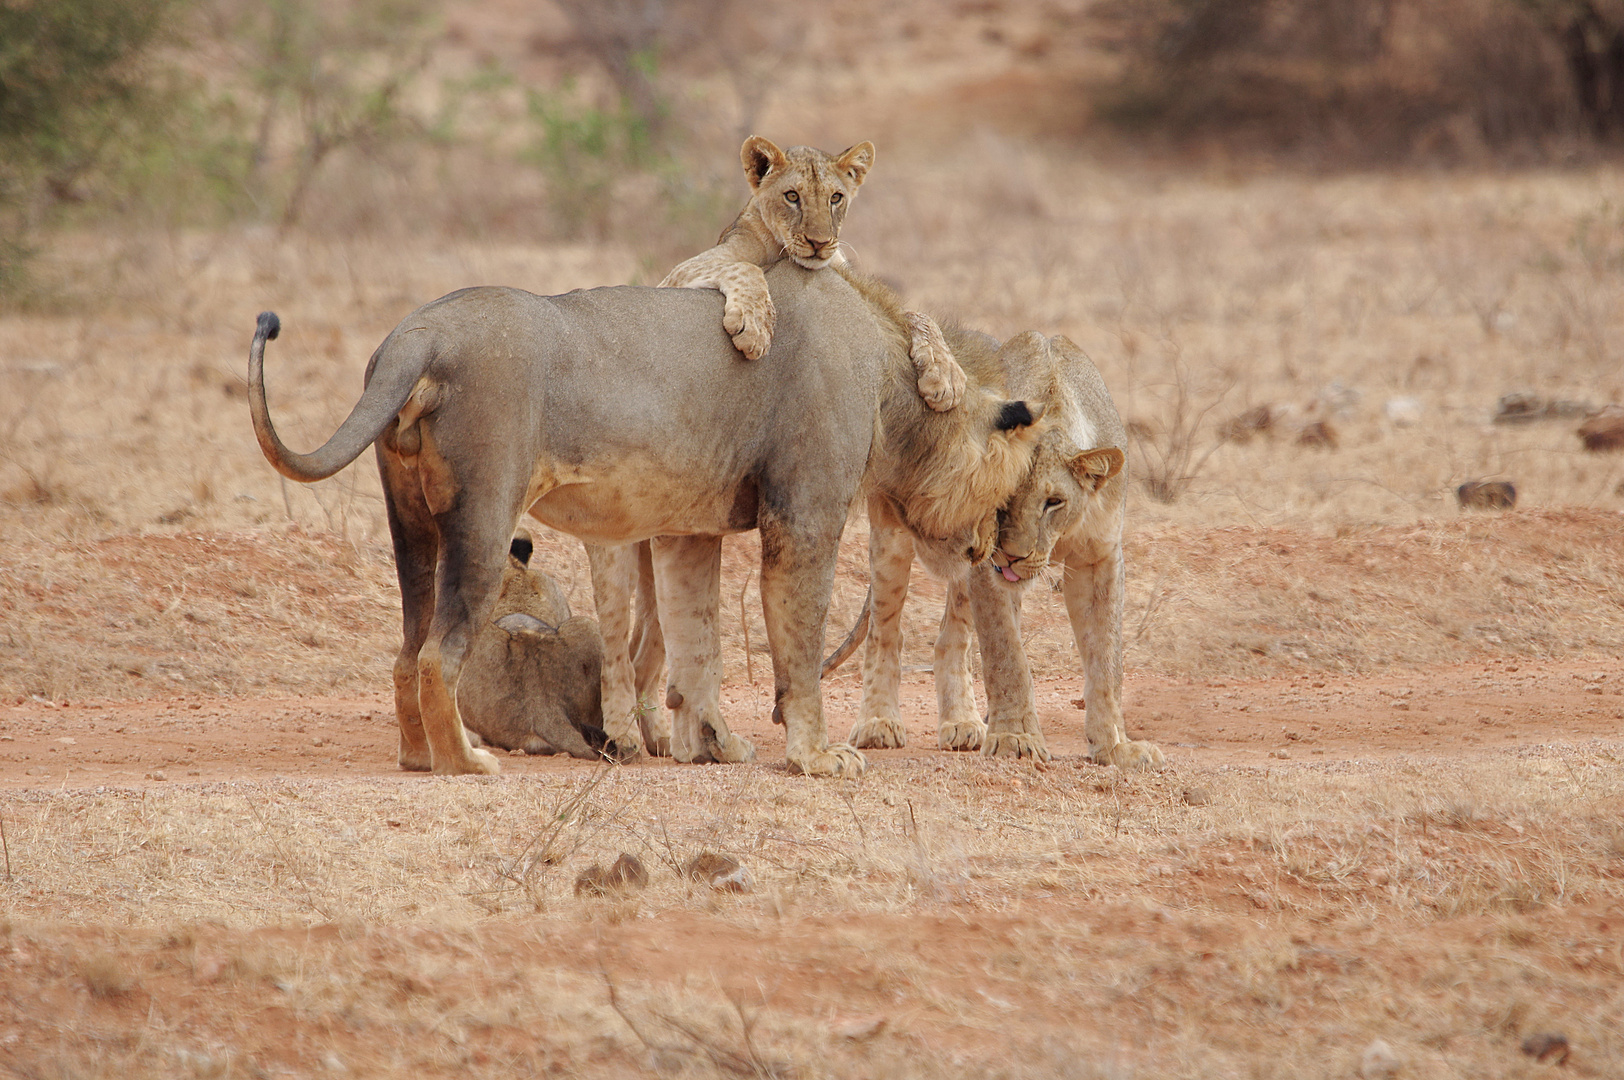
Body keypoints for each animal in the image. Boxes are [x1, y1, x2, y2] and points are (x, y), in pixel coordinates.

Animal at [659, 138, 961, 412]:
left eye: (835, 198)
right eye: (792, 196)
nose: (819, 242)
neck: (781, 249)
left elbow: (917, 315)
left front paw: (947, 375)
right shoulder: (675, 275)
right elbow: (747, 267)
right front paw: (755, 327)